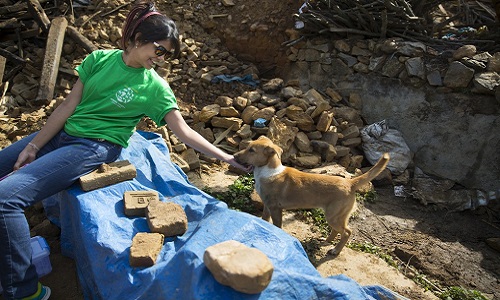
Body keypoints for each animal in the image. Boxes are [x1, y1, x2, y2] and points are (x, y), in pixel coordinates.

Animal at [234, 136, 390, 255]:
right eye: (248, 147)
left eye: (252, 150)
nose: (234, 156)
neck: (269, 171)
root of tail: (350, 182)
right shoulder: (267, 206)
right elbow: (264, 220)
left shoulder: (275, 209)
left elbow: (277, 225)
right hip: (337, 216)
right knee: (337, 230)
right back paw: (327, 241)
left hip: (334, 215)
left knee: (347, 232)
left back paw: (335, 250)